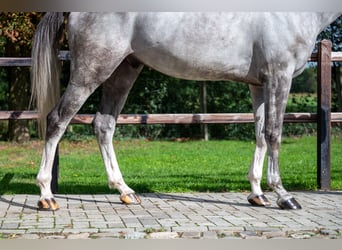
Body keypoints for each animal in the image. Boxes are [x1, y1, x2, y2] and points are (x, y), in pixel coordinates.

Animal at [31, 12, 340, 210]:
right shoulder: (279, 77)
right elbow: (274, 134)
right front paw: (284, 196)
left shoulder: (259, 84)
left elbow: (261, 135)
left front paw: (257, 194)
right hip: (93, 69)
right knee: (58, 120)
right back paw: (47, 196)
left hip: (123, 70)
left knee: (103, 125)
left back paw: (125, 191)